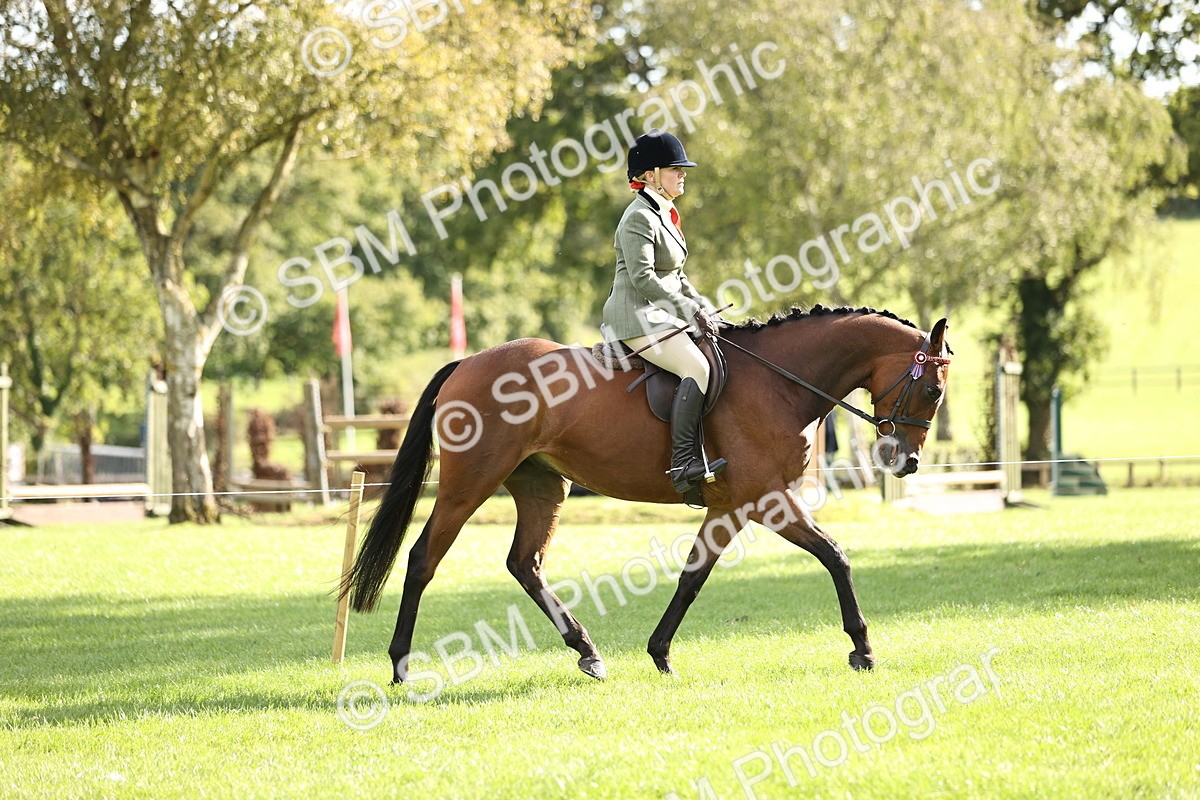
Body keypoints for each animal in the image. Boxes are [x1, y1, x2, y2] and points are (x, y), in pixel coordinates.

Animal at [339, 306, 952, 684]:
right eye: (932, 388)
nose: (908, 462)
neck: (780, 382)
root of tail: (466, 363)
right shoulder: (768, 500)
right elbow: (835, 556)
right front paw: (862, 648)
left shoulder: (729, 507)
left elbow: (691, 578)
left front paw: (660, 653)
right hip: (471, 482)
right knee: (424, 558)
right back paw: (400, 667)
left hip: (541, 486)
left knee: (525, 563)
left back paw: (587, 653)